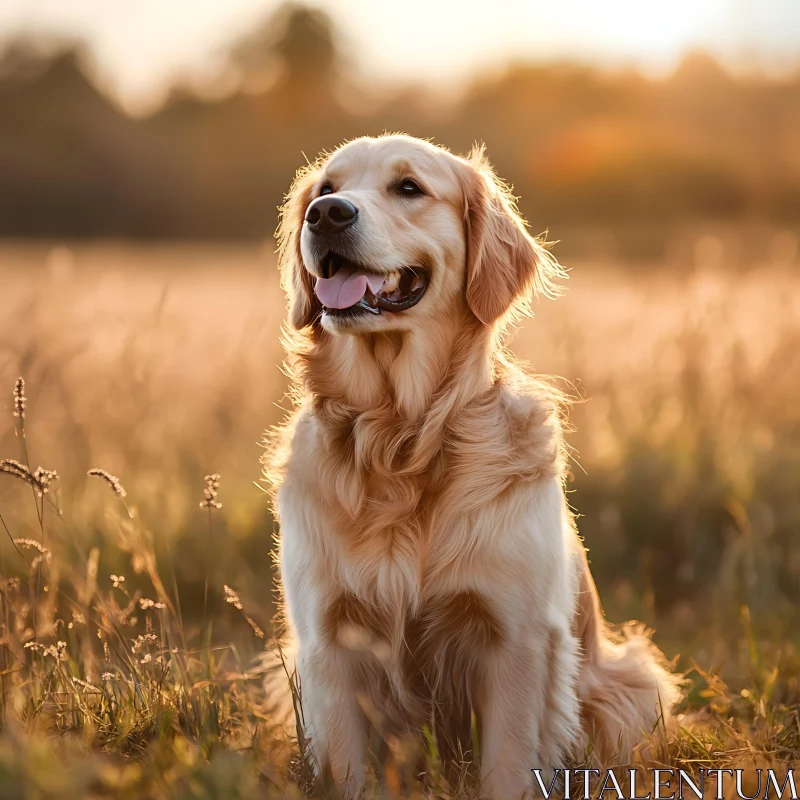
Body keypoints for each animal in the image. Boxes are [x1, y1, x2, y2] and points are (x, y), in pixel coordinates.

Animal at [264, 134, 680, 796]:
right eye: (326, 189)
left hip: (630, 683)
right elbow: (348, 768)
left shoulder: (515, 639)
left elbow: (508, 764)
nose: (326, 216)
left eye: (409, 187)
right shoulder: (329, 638)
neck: (401, 438)